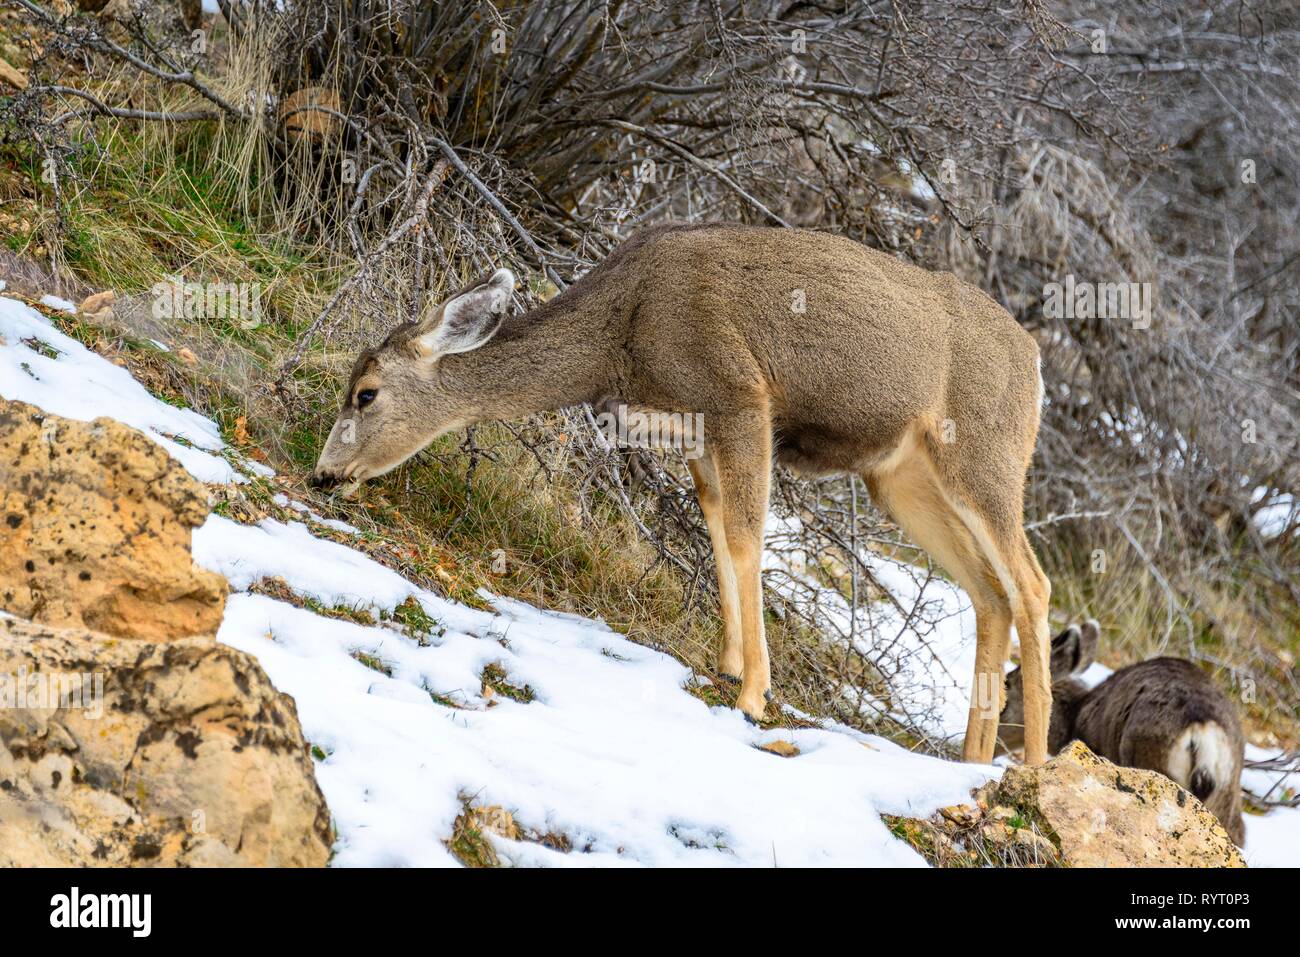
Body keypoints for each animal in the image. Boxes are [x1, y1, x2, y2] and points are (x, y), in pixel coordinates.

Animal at [310, 223, 1053, 764]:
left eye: (365, 393)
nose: (322, 474)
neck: (623, 335)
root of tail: (1036, 360)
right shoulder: (697, 431)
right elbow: (719, 528)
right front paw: (727, 665)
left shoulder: (740, 395)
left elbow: (749, 539)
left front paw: (754, 695)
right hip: (899, 478)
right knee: (990, 592)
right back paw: (971, 758)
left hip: (983, 451)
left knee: (1032, 582)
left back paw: (1033, 765)